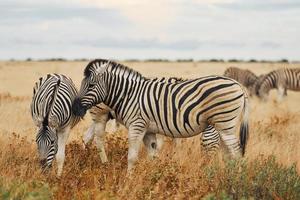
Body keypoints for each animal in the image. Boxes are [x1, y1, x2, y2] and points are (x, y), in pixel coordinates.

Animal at [72, 58, 248, 171]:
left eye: (91, 85)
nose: (74, 108)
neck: (129, 94)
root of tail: (239, 85)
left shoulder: (137, 125)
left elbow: (132, 156)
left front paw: (129, 180)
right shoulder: (148, 129)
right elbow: (152, 155)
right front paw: (152, 176)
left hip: (225, 123)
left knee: (236, 153)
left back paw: (235, 179)